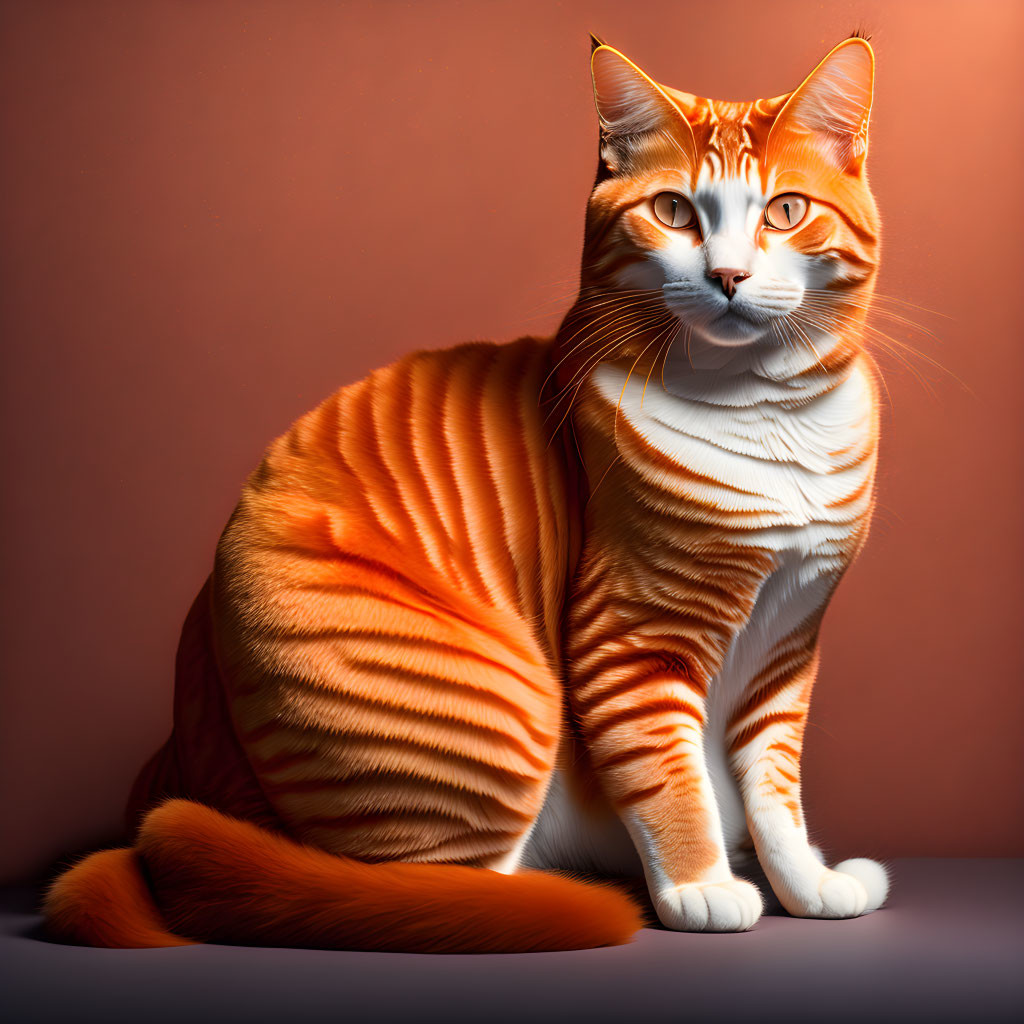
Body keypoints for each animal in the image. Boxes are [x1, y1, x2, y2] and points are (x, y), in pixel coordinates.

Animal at [41, 32, 888, 954]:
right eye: (674, 211)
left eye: (785, 212)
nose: (729, 276)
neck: (769, 419)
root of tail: (182, 754)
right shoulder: (629, 638)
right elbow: (669, 775)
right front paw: (702, 885)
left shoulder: (787, 642)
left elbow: (772, 784)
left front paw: (803, 883)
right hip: (503, 698)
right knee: (444, 893)